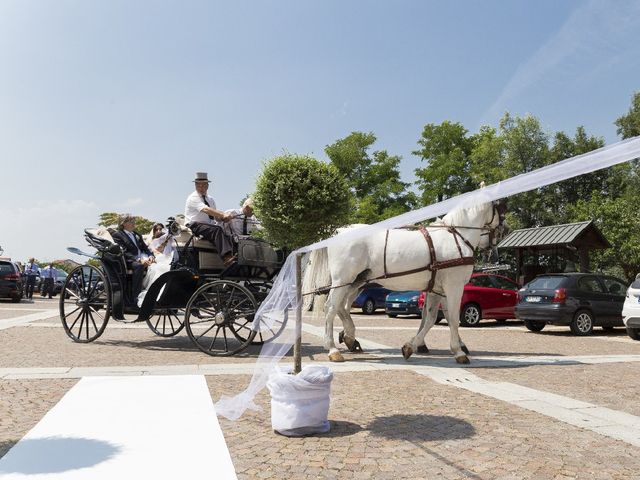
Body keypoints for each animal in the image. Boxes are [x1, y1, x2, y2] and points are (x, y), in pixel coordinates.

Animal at [302, 200, 508, 364]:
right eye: (501, 210)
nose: (501, 234)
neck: (455, 237)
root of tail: (338, 230)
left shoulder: (437, 289)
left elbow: (433, 318)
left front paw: (413, 346)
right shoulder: (454, 287)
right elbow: (452, 319)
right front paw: (458, 351)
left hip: (354, 282)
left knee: (341, 307)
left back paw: (349, 338)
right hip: (344, 280)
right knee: (331, 308)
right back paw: (333, 349)